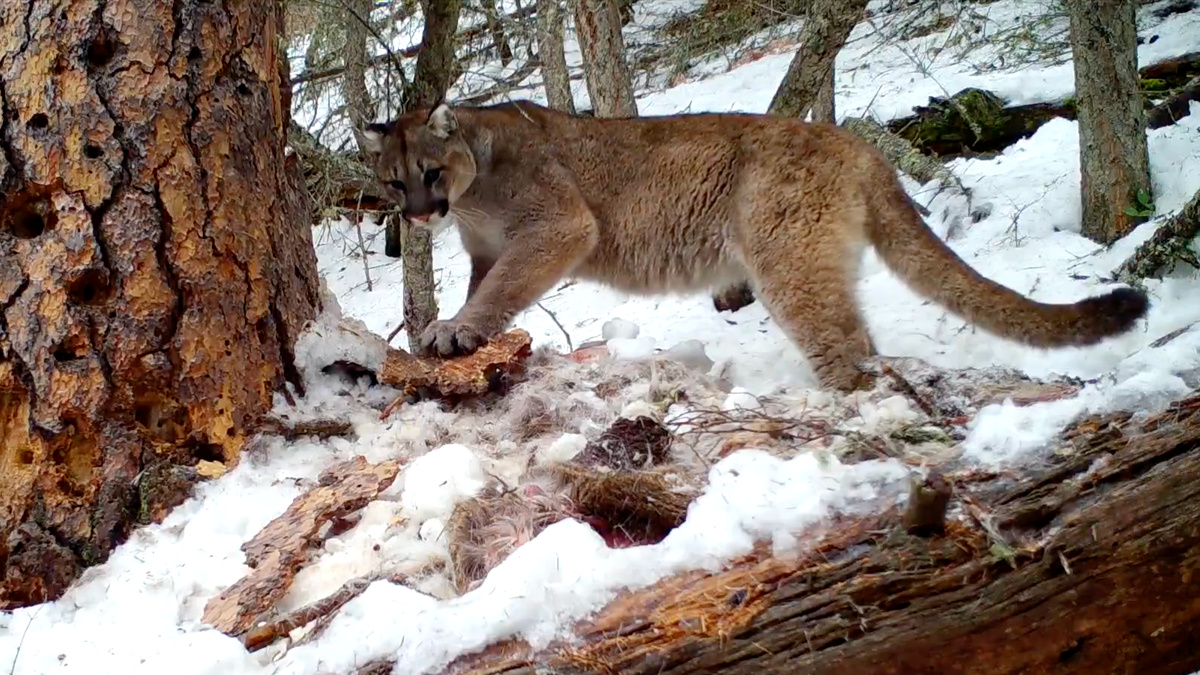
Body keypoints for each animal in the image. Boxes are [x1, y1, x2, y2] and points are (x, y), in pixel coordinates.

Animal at [355, 102, 1152, 391]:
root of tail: (859, 146)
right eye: (394, 182)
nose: (418, 215)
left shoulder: (557, 226)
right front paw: (453, 328)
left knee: (844, 344)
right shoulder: (486, 248)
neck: (475, 189)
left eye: (431, 173)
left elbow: (501, 288)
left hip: (786, 254)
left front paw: (457, 330)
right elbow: (486, 283)